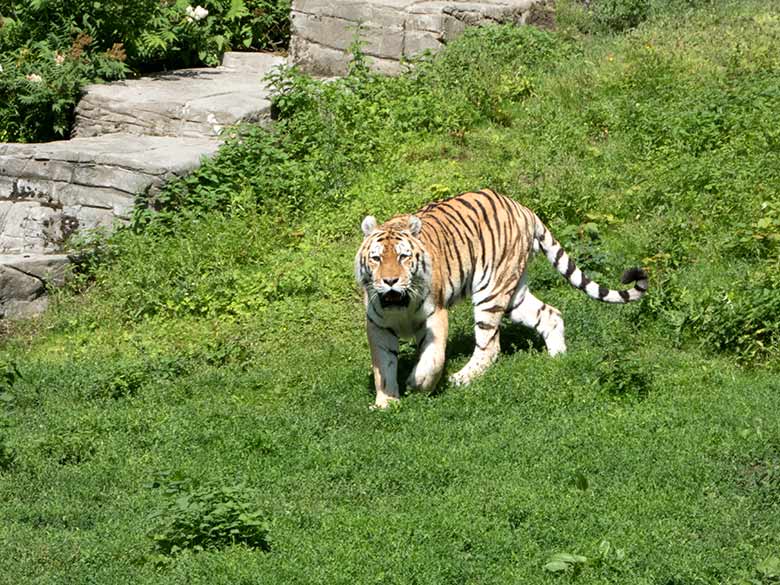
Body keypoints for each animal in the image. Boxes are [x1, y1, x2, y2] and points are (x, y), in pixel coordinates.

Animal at [354, 189, 644, 408]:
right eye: (376, 258)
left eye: (403, 256)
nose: (390, 281)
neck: (399, 307)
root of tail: (522, 207)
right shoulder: (378, 325)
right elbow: (383, 366)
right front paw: (386, 402)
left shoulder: (435, 314)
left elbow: (433, 360)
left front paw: (418, 384)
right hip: (514, 294)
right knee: (551, 314)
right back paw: (558, 360)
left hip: (491, 290)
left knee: (490, 346)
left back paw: (461, 379)